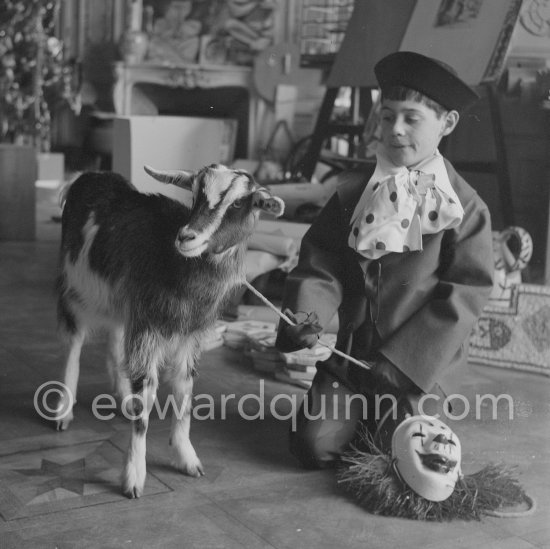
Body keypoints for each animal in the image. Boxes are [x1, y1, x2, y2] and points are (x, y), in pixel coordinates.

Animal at [55, 162, 284, 496]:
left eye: (240, 203)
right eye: (195, 195)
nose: (187, 237)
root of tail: (90, 174)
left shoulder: (189, 335)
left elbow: (184, 390)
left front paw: (186, 457)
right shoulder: (147, 328)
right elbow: (146, 401)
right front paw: (134, 476)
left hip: (120, 301)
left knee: (115, 339)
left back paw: (123, 397)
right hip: (75, 287)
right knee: (73, 342)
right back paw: (63, 410)